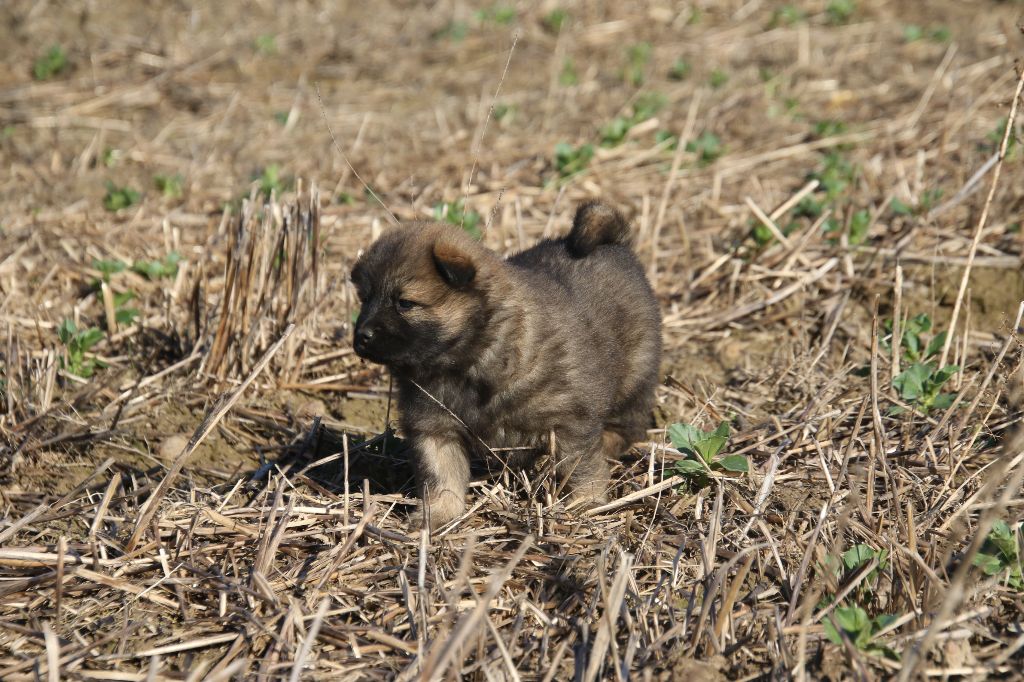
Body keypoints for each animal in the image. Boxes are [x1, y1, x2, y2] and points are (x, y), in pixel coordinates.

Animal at [348, 199, 659, 528]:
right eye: (364, 298)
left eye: (405, 303)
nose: (361, 336)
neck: (469, 358)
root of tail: (613, 243)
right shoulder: (434, 427)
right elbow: (440, 475)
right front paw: (438, 514)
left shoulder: (570, 420)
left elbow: (579, 466)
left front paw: (586, 503)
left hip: (636, 373)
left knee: (628, 423)